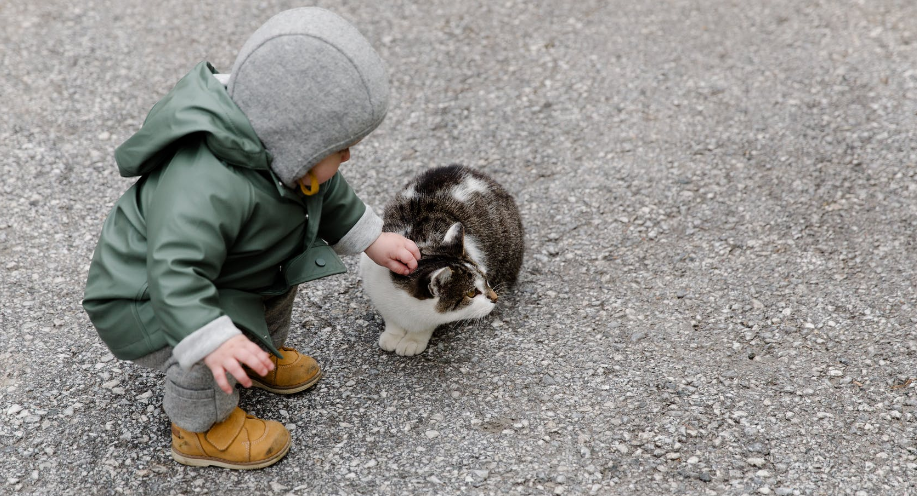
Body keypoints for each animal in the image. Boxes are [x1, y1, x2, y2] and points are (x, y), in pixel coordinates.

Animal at [358, 165, 524, 354]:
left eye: (485, 279)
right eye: (471, 293)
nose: (495, 298)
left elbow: (426, 325)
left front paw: (413, 340)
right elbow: (391, 319)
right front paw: (392, 335)